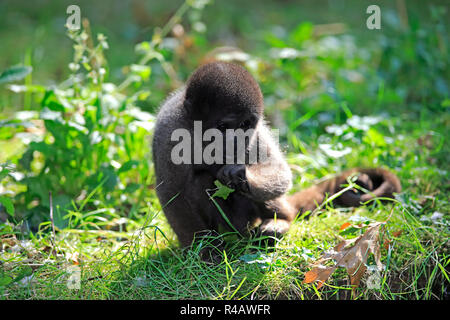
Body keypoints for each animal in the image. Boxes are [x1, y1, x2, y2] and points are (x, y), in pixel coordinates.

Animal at [153, 61, 402, 258]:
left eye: (246, 124)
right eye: (223, 126)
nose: (237, 140)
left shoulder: (256, 133)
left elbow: (279, 170)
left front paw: (242, 175)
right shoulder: (168, 132)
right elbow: (172, 192)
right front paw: (203, 250)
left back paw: (280, 221)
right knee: (201, 182)